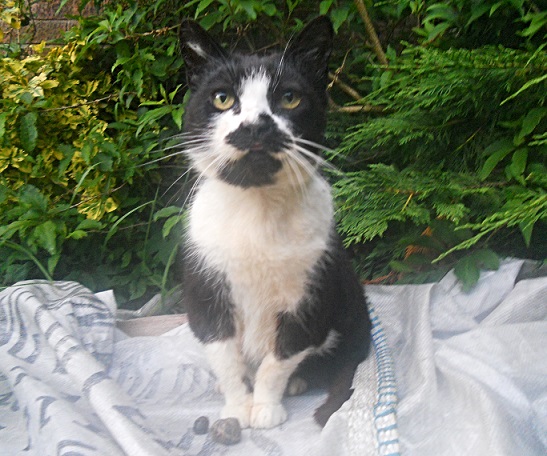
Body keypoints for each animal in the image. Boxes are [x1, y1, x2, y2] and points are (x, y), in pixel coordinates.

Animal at [178, 16, 371, 429]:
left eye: (289, 98)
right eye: (222, 98)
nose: (255, 126)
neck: (256, 209)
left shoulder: (309, 295)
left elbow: (280, 358)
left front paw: (265, 408)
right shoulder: (206, 286)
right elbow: (224, 357)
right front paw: (237, 406)